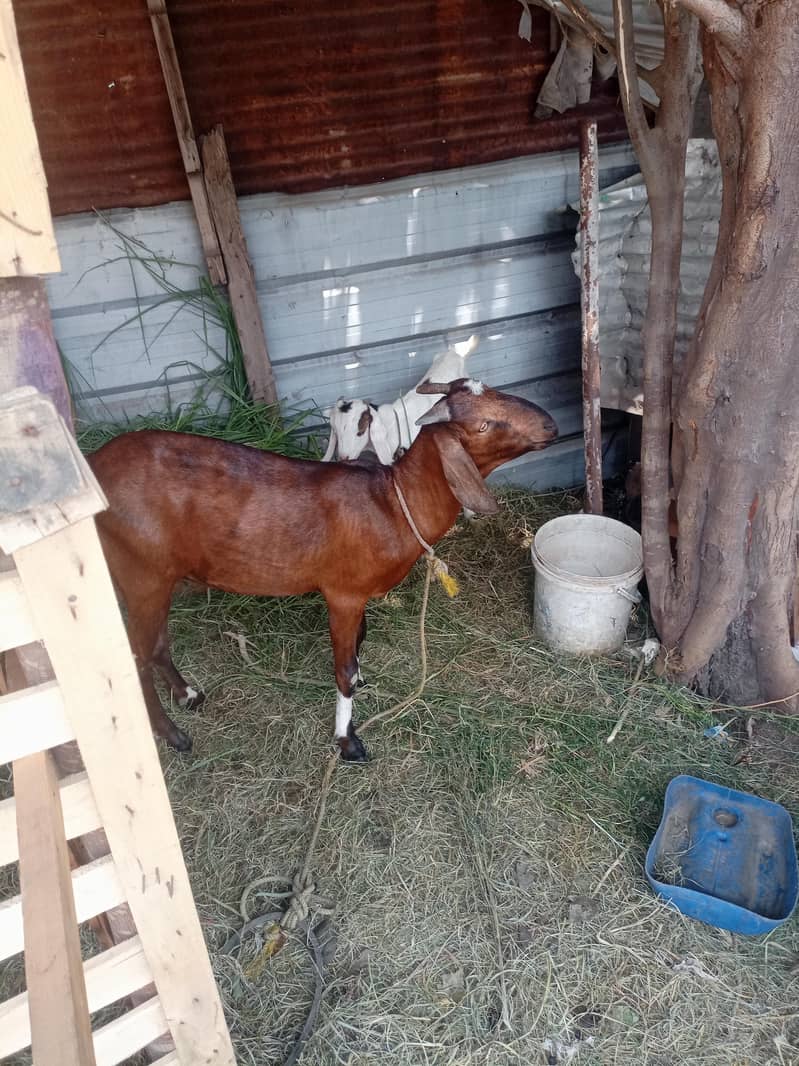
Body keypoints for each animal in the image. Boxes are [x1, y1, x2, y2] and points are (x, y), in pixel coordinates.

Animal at [88, 379, 558, 760]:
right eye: (484, 425)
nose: (551, 425)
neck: (392, 501)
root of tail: (94, 464)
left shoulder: (357, 596)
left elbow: (360, 642)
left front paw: (364, 681)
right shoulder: (343, 594)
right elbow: (343, 670)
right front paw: (348, 741)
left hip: (157, 577)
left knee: (155, 645)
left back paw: (188, 695)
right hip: (141, 574)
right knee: (135, 657)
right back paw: (173, 735)